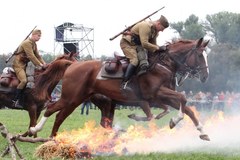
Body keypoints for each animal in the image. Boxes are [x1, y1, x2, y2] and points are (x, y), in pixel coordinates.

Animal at [29, 37, 210, 140]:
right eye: (200, 55)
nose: (205, 76)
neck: (163, 64)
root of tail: (73, 65)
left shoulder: (162, 98)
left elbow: (186, 108)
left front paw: (202, 131)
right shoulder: (156, 95)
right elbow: (181, 101)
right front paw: (174, 121)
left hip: (82, 100)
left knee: (61, 116)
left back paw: (52, 137)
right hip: (71, 98)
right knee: (52, 109)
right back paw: (37, 129)